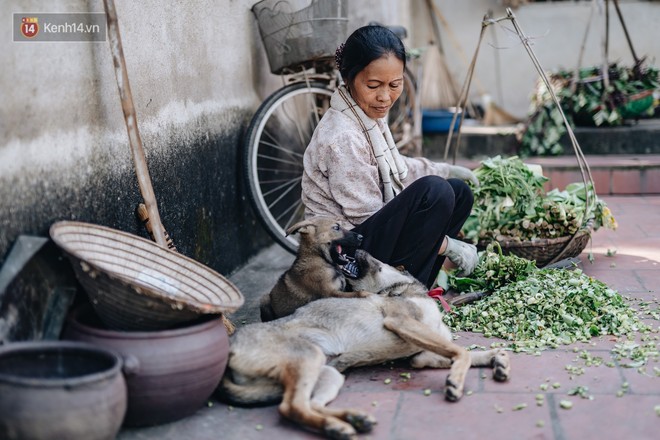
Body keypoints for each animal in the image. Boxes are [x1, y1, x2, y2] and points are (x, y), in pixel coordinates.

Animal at [217, 251, 510, 440]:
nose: (356, 247)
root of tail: (230, 349)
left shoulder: (421, 355)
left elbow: (468, 353)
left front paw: (497, 358)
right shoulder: (401, 322)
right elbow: (462, 353)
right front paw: (455, 382)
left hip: (328, 373)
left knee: (311, 404)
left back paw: (349, 421)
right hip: (308, 356)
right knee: (291, 407)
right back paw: (340, 427)